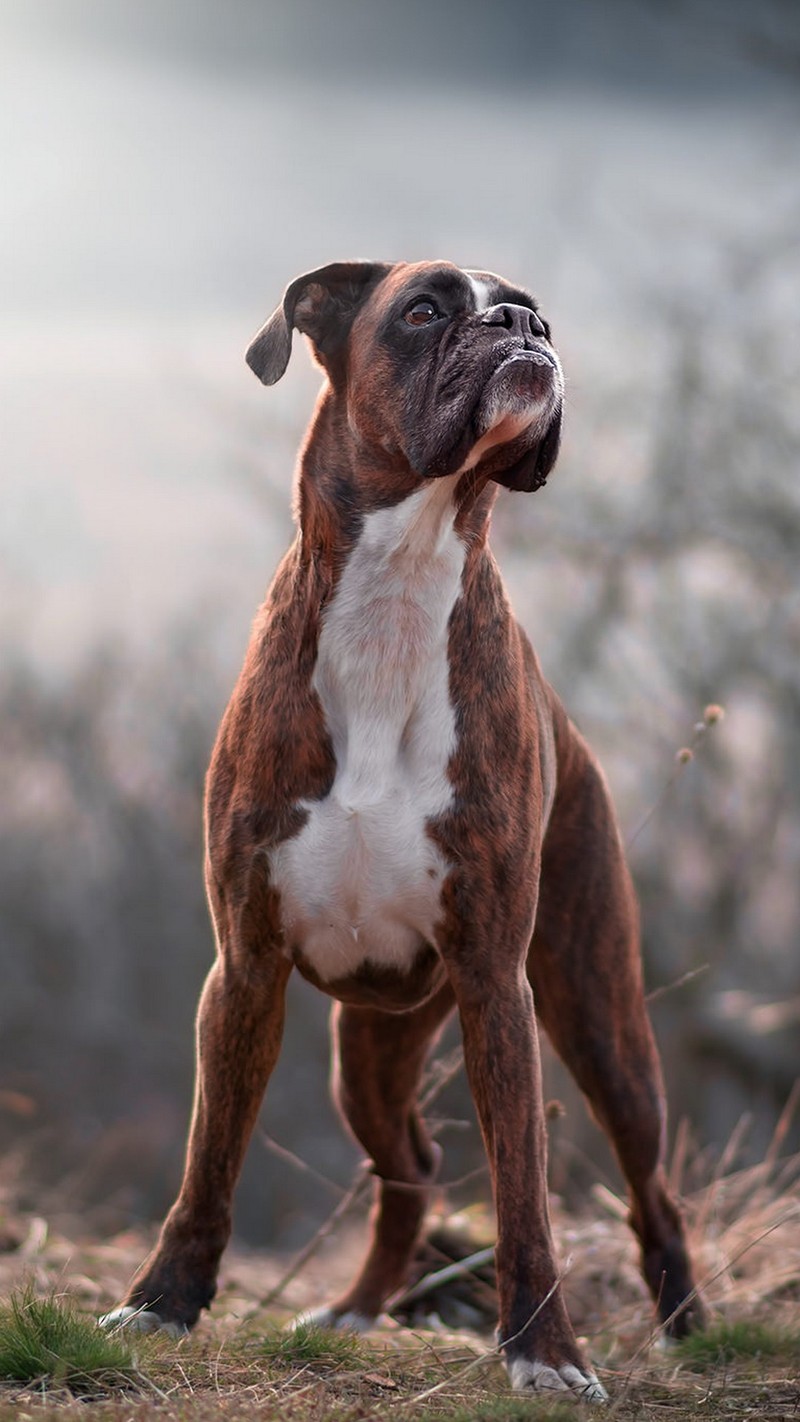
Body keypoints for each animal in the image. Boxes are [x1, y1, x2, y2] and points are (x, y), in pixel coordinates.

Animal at [101, 261, 707, 1393]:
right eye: (425, 309)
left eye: (533, 309)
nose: (522, 324)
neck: (400, 583)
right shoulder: (242, 970)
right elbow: (208, 1163)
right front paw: (162, 1304)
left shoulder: (496, 984)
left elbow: (522, 1193)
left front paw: (544, 1354)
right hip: (369, 1056)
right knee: (411, 1169)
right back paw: (353, 1310)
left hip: (600, 1022)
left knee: (650, 1189)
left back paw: (689, 1325)